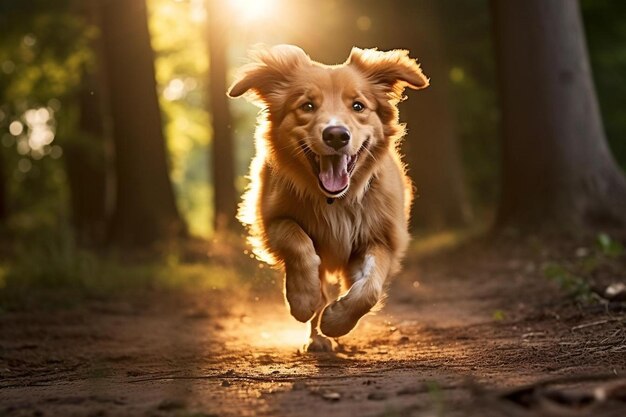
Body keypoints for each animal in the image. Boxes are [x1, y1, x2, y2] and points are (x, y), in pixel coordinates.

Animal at [227, 44, 426, 352]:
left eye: (358, 106)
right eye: (307, 106)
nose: (336, 135)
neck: (336, 200)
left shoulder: (381, 238)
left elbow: (369, 289)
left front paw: (336, 321)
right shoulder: (271, 222)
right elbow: (297, 243)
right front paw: (302, 300)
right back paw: (316, 337)